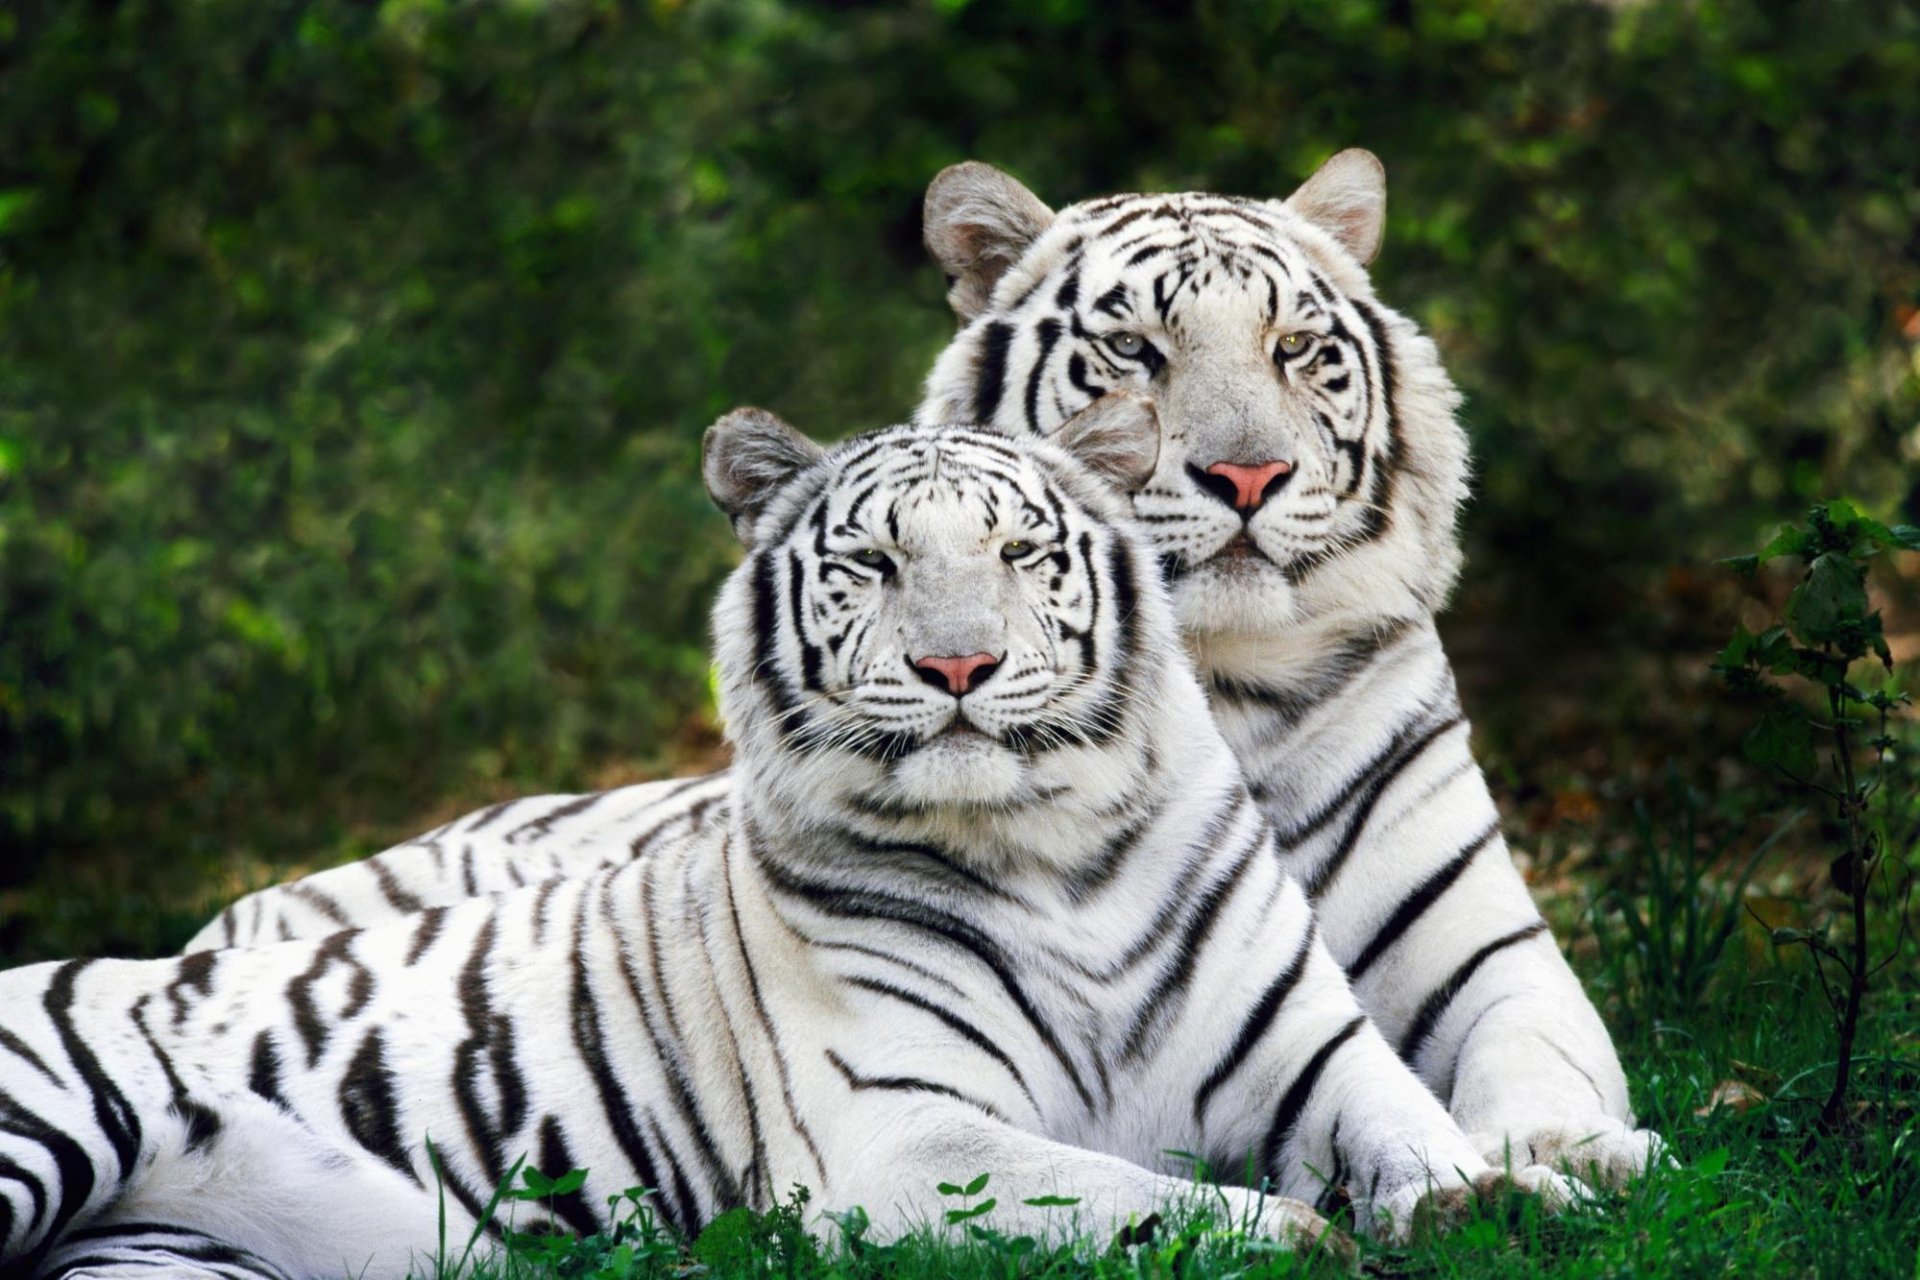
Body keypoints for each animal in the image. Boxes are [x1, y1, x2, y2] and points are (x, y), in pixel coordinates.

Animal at [1, 412, 1579, 1279]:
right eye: (873, 564)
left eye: (1020, 554)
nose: (958, 668)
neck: (1056, 850)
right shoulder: (900, 1136)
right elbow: (1146, 1199)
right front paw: (1304, 1237)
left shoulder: (1313, 1054)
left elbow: (1418, 1132)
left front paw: (1517, 1196)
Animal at [187, 150, 1663, 1185]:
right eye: (1135, 350)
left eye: (1298, 349)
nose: (1246, 475)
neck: (1224, 686)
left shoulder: (1487, 948)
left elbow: (1538, 1052)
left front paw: (1574, 1153)